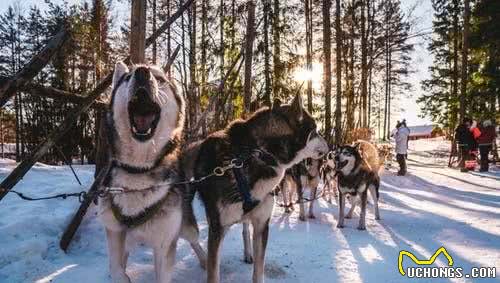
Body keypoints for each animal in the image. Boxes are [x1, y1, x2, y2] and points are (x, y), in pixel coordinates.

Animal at [98, 62, 204, 283]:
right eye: (127, 77)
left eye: (160, 78)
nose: (141, 72)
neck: (139, 171)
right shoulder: (114, 231)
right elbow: (116, 268)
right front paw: (122, 276)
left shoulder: (164, 243)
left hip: (187, 228)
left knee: (195, 241)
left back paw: (205, 260)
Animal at [188, 94, 328, 282]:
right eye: (316, 130)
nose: (329, 144)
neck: (259, 153)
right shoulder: (217, 230)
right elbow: (214, 273)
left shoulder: (262, 225)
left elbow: (259, 271)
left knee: (245, 229)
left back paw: (248, 254)